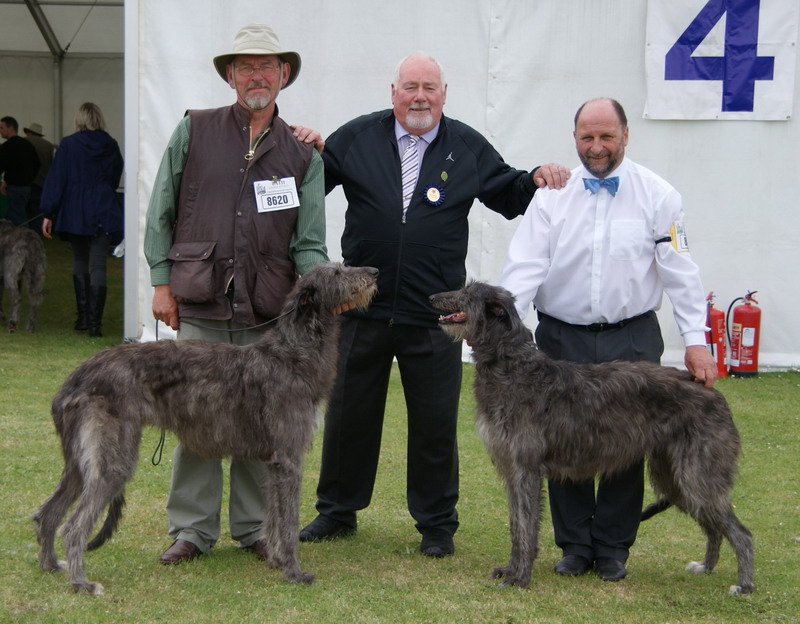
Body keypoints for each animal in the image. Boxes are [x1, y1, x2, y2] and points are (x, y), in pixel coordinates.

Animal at [32, 262, 380, 596]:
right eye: (337, 272)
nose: (374, 272)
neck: (292, 353)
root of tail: (77, 376)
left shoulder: (273, 462)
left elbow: (273, 516)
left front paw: (276, 559)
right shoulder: (288, 457)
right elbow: (289, 521)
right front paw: (294, 572)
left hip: (80, 459)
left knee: (47, 513)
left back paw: (51, 566)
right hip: (112, 459)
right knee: (73, 526)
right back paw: (82, 584)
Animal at [428, 282, 752, 596]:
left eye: (467, 292)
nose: (432, 297)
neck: (511, 365)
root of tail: (712, 392)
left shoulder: (525, 469)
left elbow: (526, 526)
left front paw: (520, 578)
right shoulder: (511, 469)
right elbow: (516, 525)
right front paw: (510, 570)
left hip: (696, 474)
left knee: (741, 532)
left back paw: (744, 585)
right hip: (673, 476)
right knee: (714, 527)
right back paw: (706, 566)